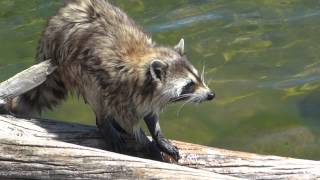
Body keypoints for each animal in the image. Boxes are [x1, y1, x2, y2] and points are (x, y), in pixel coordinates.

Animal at [8, 0, 216, 160]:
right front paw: (146, 141)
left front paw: (157, 134)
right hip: (72, 66)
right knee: (93, 92)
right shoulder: (118, 90)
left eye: (198, 77)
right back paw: (105, 122)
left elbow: (149, 114)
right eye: (189, 85)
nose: (211, 95)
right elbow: (129, 121)